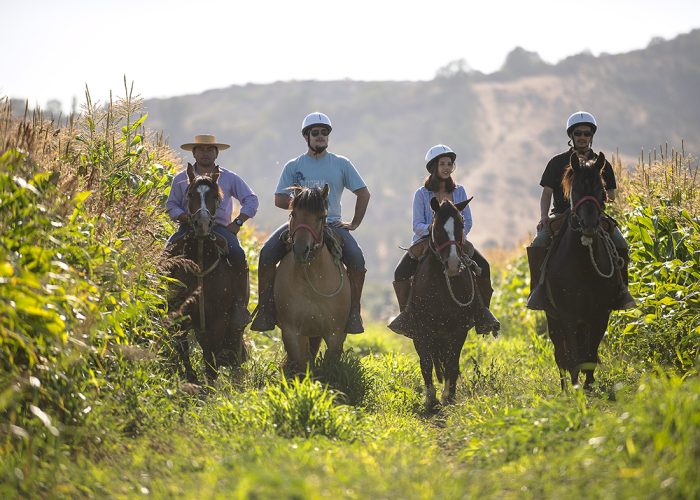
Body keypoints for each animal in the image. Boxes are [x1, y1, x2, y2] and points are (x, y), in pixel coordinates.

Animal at [167, 165, 249, 382]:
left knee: (235, 337)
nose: (202, 224)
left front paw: (210, 382)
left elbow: (211, 355)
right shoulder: (182, 313)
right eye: (190, 194)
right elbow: (183, 347)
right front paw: (192, 379)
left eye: (215, 196)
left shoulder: (219, 318)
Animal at [274, 184, 350, 372]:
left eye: (321, 216)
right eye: (294, 213)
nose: (302, 250)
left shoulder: (335, 334)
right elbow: (300, 365)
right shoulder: (292, 332)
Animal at [388, 197, 482, 408]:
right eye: (437, 227)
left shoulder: (459, 329)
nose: (453, 264)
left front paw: (449, 395)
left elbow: (452, 362)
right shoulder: (422, 329)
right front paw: (431, 397)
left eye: (461, 225)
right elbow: (426, 362)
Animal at [540, 152, 624, 390]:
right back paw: (564, 387)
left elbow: (590, 352)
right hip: (553, 317)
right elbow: (573, 355)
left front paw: (588, 383)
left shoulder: (600, 313)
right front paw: (576, 385)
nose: (588, 225)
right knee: (560, 352)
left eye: (601, 189)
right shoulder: (567, 314)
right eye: (575, 189)